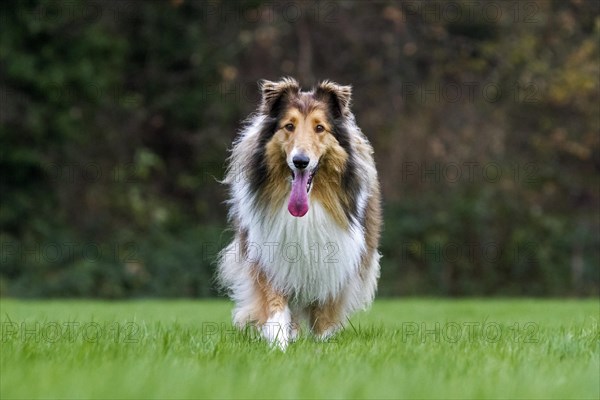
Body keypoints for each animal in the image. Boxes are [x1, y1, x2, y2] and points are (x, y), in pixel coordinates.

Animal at [218, 76, 382, 348]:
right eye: (289, 126)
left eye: (320, 128)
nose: (300, 161)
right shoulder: (267, 252)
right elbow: (274, 302)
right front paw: (278, 341)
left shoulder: (337, 257)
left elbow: (325, 311)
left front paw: (323, 343)